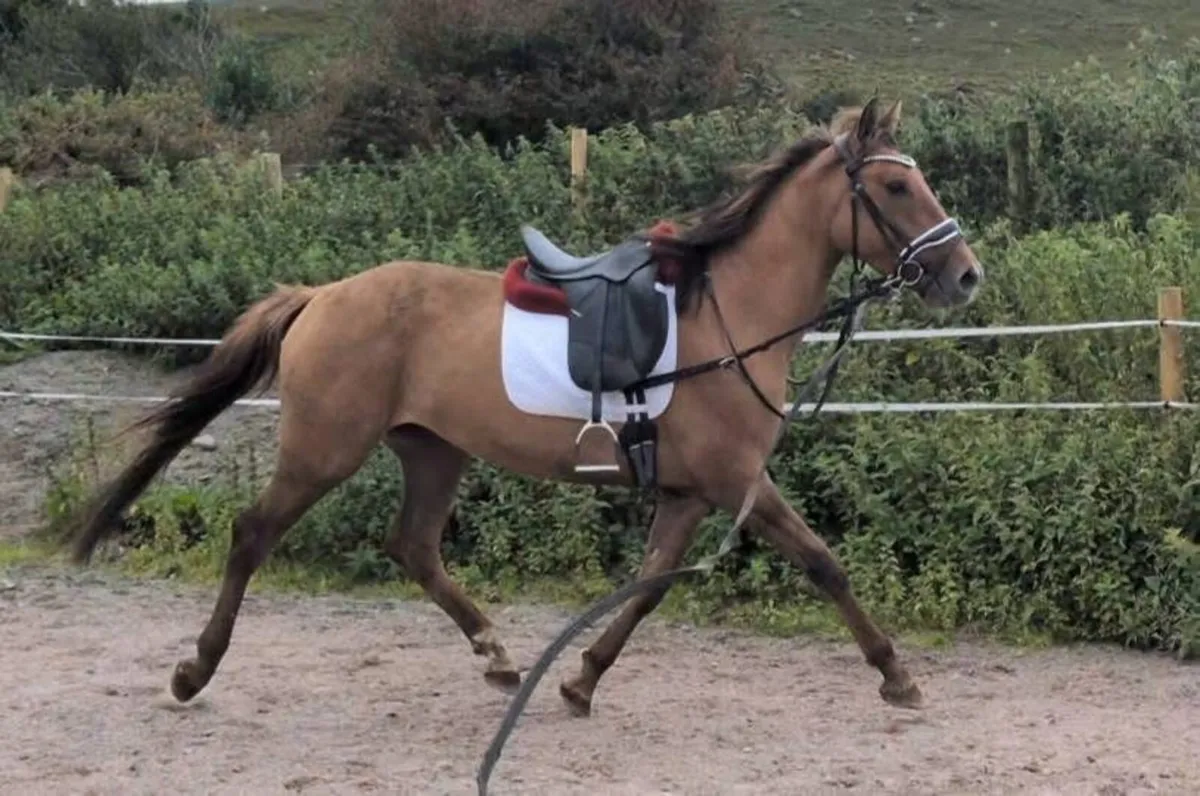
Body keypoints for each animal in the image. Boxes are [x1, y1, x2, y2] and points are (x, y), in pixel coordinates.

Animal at [66, 98, 983, 720]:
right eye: (896, 184)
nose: (964, 274)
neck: (728, 314)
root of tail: (322, 295)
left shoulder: (691, 494)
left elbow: (646, 589)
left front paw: (578, 680)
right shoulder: (738, 483)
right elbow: (824, 564)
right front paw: (897, 674)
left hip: (432, 449)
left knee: (414, 547)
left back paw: (499, 656)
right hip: (324, 451)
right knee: (253, 534)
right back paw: (194, 670)